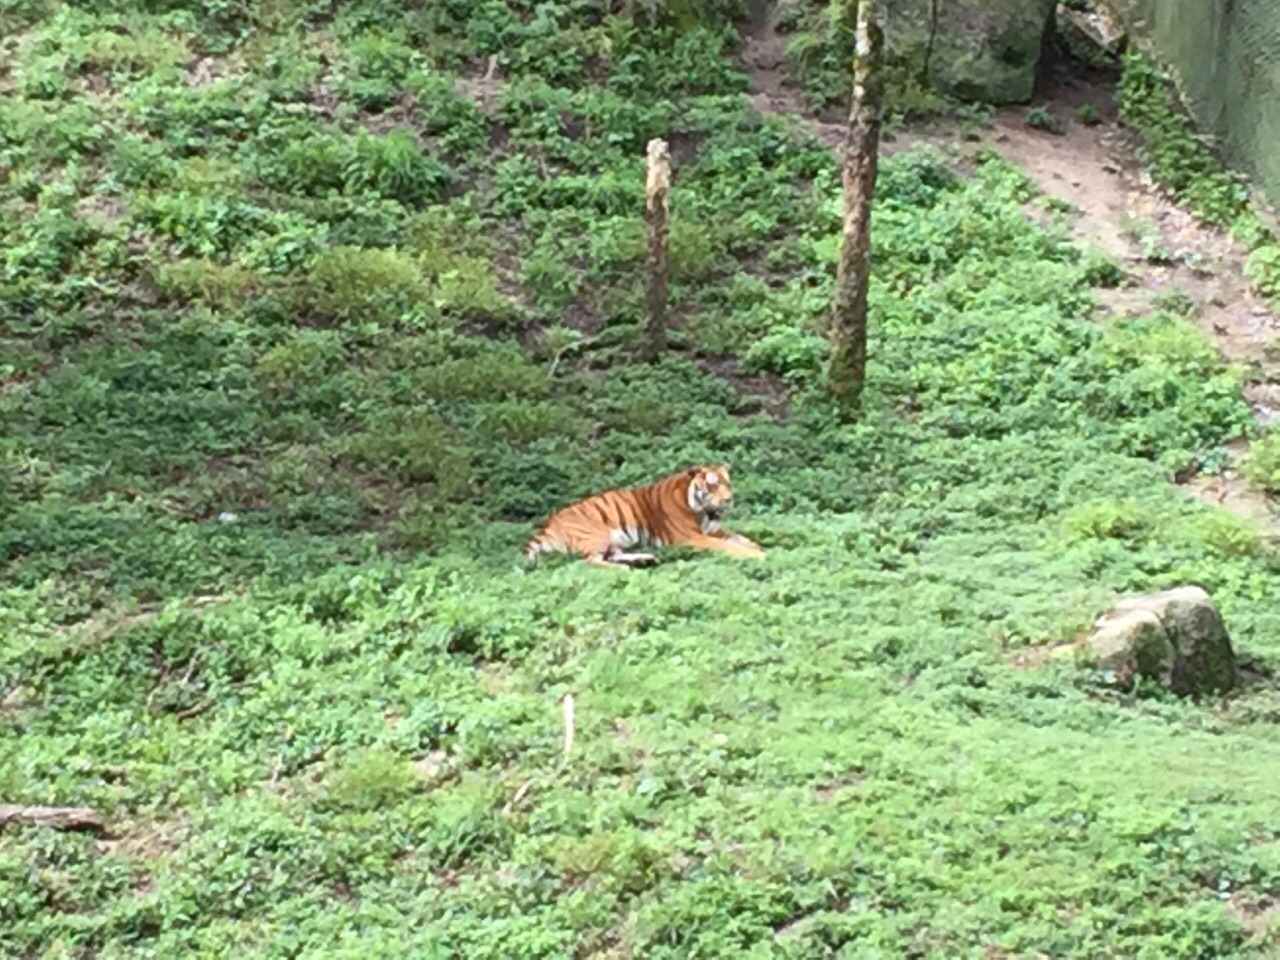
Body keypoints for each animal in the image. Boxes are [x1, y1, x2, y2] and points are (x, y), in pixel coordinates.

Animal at [524, 465, 762, 570]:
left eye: (726, 483)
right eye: (712, 485)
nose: (728, 500)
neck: (704, 512)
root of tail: (547, 526)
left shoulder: (715, 530)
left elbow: (743, 539)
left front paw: (759, 548)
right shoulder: (692, 537)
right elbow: (729, 546)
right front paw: (758, 555)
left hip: (614, 540)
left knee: (612, 555)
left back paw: (644, 559)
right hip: (598, 534)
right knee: (589, 561)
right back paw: (624, 568)